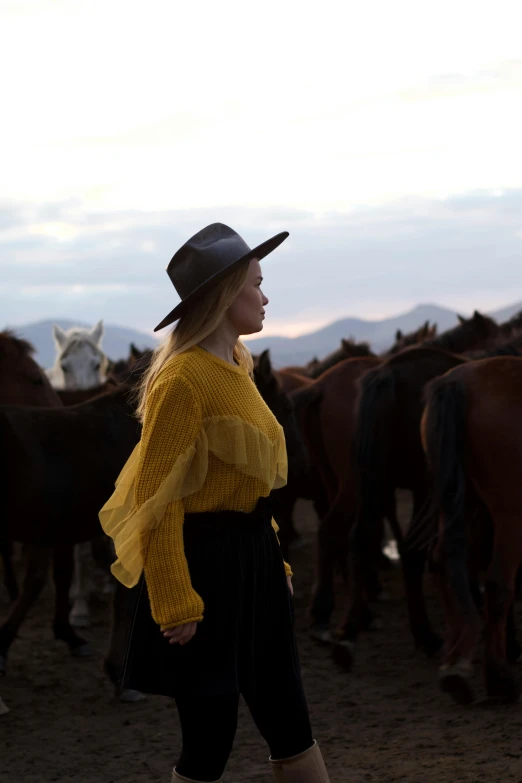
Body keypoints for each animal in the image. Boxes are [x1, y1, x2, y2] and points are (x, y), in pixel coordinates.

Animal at [420, 356, 522, 704]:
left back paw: (456, 660)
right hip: (508, 513)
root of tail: (458, 381)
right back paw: (500, 679)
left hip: (459, 500)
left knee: (442, 560)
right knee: (498, 583)